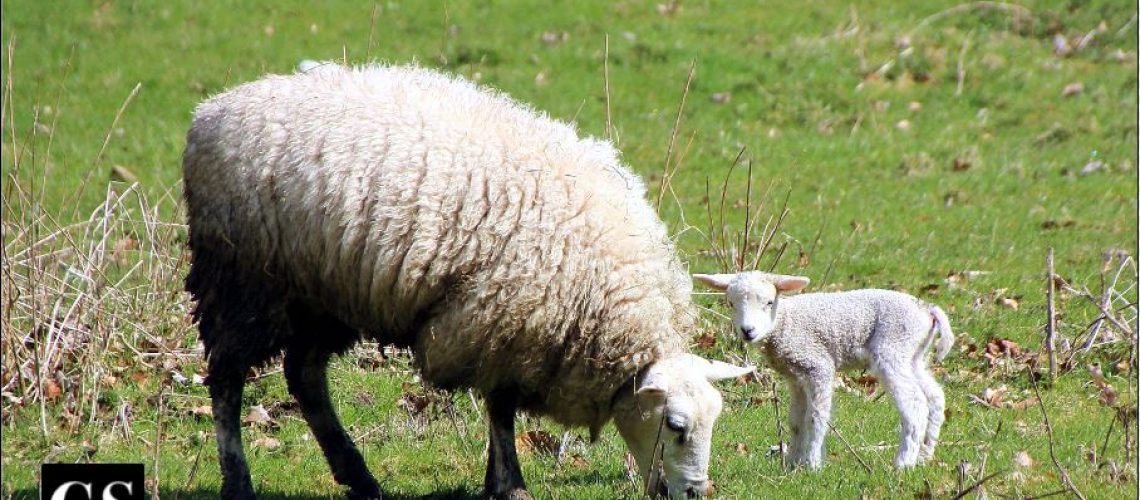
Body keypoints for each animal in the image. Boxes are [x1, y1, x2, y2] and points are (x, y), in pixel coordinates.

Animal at [182, 63, 754, 499]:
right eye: (676, 426)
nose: (694, 494)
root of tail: (211, 111)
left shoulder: (506, 329)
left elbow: (499, 409)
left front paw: (493, 481)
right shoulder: (502, 321)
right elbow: (501, 408)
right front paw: (510, 484)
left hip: (324, 292)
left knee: (303, 375)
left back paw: (360, 479)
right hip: (244, 280)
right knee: (227, 379)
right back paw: (238, 482)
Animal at [693, 271, 954, 469]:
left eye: (769, 303)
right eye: (731, 303)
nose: (747, 331)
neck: (785, 322)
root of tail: (927, 309)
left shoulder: (818, 366)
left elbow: (816, 417)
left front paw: (812, 464)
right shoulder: (795, 377)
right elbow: (796, 421)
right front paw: (792, 462)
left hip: (893, 348)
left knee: (914, 403)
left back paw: (903, 463)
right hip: (913, 355)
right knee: (935, 396)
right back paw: (925, 455)